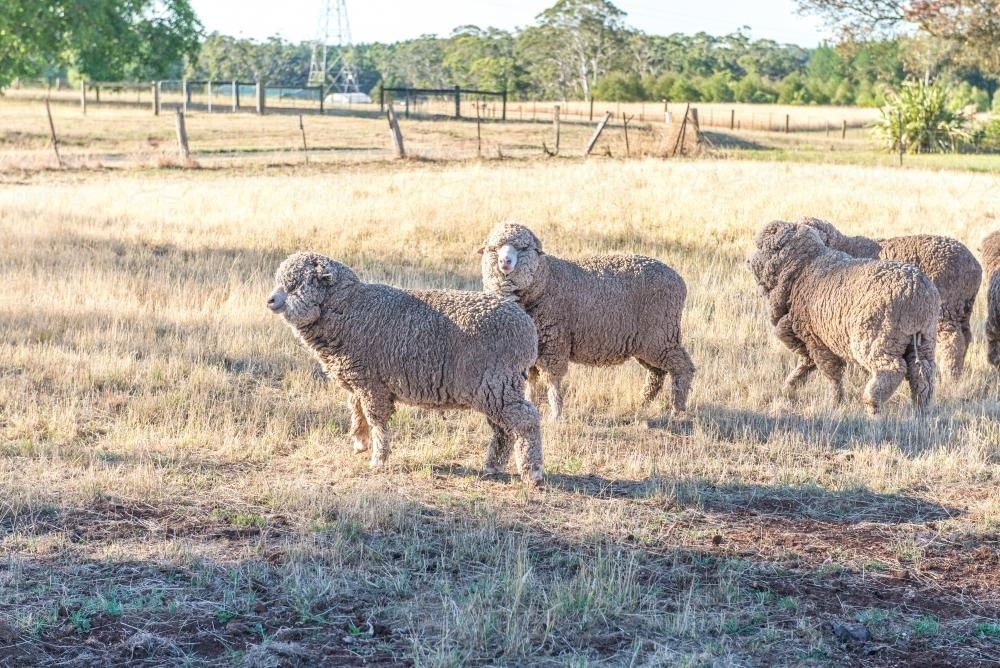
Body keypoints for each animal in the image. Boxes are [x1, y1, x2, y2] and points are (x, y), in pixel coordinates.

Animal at [268, 253, 548, 482]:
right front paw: (360, 442)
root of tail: (527, 327)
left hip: (497, 382)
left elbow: (376, 420)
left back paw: (532, 471)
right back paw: (492, 466)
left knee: (527, 420)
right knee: (503, 429)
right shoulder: (358, 381)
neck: (350, 309)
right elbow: (357, 412)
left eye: (295, 284)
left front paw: (378, 459)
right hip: (493, 388)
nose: (270, 300)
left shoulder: (372, 384)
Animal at [478, 222, 696, 426]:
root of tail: (679, 280)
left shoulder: (554, 344)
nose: (505, 261)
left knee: (683, 367)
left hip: (661, 335)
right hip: (647, 343)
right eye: (493, 248)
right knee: (656, 374)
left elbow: (552, 382)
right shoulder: (534, 348)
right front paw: (532, 405)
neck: (545, 280)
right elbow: (531, 381)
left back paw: (677, 409)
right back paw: (643, 404)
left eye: (523, 248)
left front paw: (556, 415)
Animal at [748, 222, 940, 414]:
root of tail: (915, 290)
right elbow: (806, 364)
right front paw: (789, 387)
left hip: (877, 338)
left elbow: (831, 373)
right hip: (923, 339)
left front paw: (835, 401)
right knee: (923, 372)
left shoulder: (816, 340)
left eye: (761, 246)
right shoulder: (811, 340)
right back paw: (921, 408)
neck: (803, 269)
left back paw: (872, 404)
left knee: (892, 369)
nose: (748, 261)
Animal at [800, 217, 980, 378]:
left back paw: (950, 377)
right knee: (966, 337)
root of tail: (974, 266)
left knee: (953, 341)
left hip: (947, 306)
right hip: (963, 306)